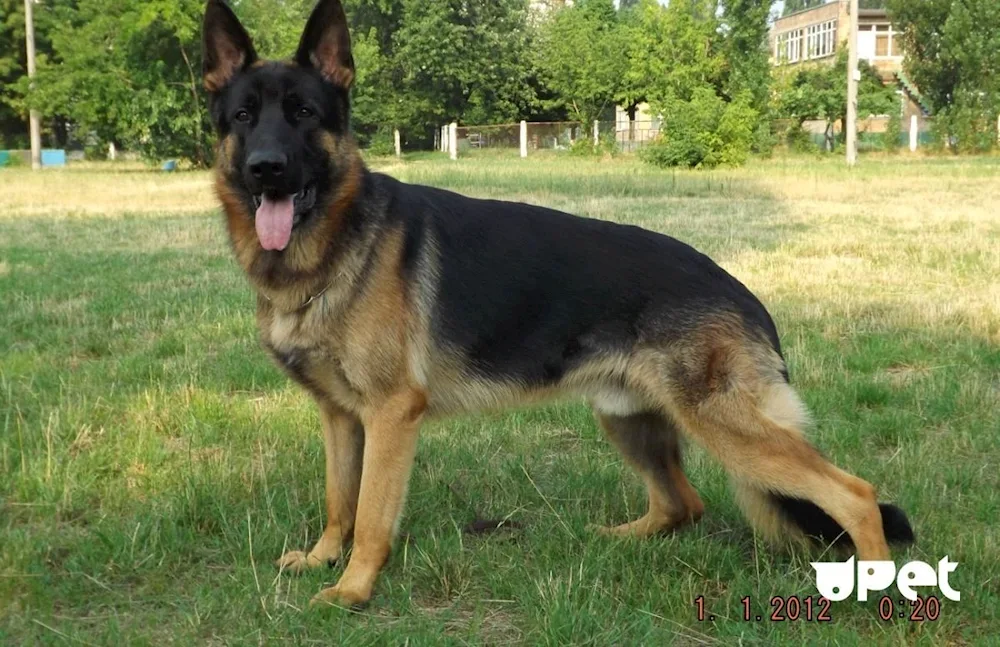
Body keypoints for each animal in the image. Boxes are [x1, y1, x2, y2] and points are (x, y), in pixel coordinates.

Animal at [203, 0, 916, 608]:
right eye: (244, 117)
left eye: (304, 114)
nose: (267, 168)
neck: (336, 245)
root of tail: (745, 294)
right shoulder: (340, 418)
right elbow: (339, 501)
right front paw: (323, 558)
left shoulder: (390, 416)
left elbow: (373, 514)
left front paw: (352, 589)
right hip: (626, 419)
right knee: (682, 505)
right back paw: (618, 539)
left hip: (726, 429)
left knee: (855, 495)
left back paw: (878, 591)